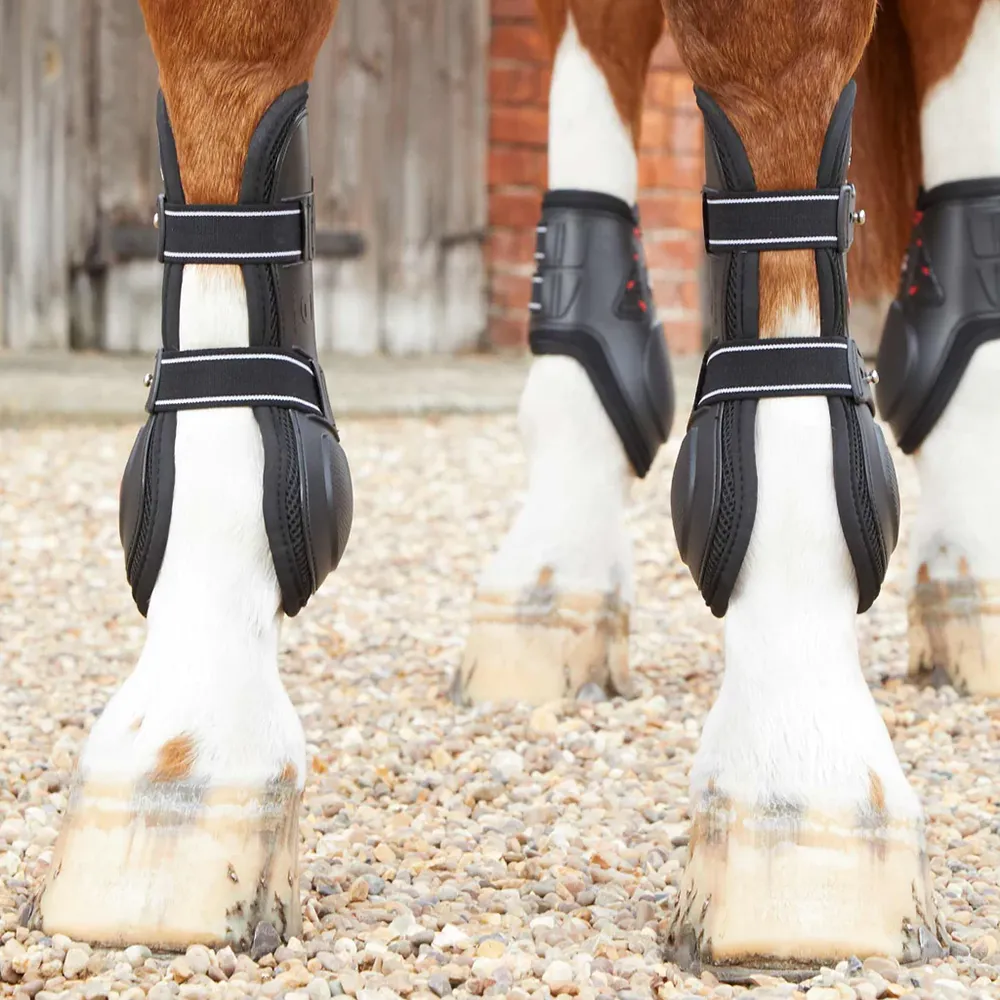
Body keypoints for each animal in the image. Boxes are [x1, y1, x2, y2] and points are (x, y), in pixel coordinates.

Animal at [29, 0, 1000, 978]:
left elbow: (771, 95)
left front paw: (802, 782)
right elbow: (228, 87)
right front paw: (178, 757)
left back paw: (971, 579)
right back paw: (554, 580)